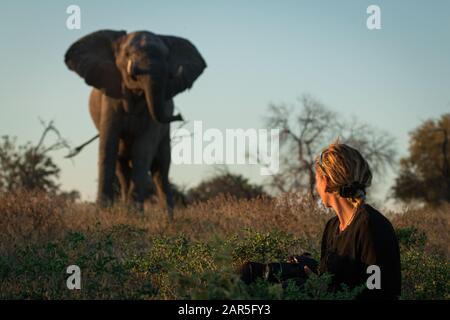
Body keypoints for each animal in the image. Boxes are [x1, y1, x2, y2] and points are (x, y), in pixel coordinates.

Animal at [64, 30, 207, 220]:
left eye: (166, 57)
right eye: (127, 54)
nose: (180, 115)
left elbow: (143, 151)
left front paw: (134, 214)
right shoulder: (110, 100)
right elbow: (107, 146)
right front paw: (102, 213)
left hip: (164, 135)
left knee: (160, 169)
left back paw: (168, 218)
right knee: (122, 167)